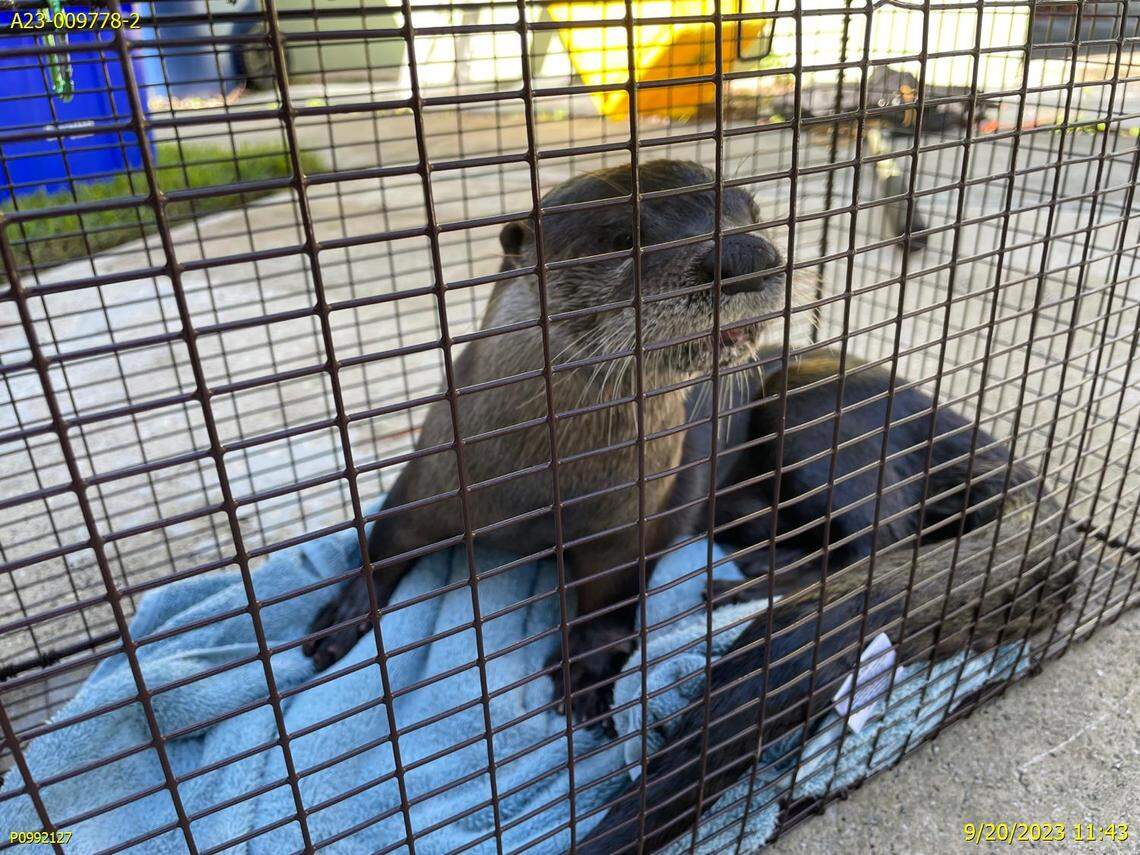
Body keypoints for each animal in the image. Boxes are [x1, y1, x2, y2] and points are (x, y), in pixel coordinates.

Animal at [304, 160, 789, 721]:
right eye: (620, 239)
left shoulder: (629, 523)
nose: (747, 253)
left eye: (753, 216)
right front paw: (342, 616)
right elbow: (385, 539)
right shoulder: (431, 474)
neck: (541, 489)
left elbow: (612, 598)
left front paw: (586, 669)